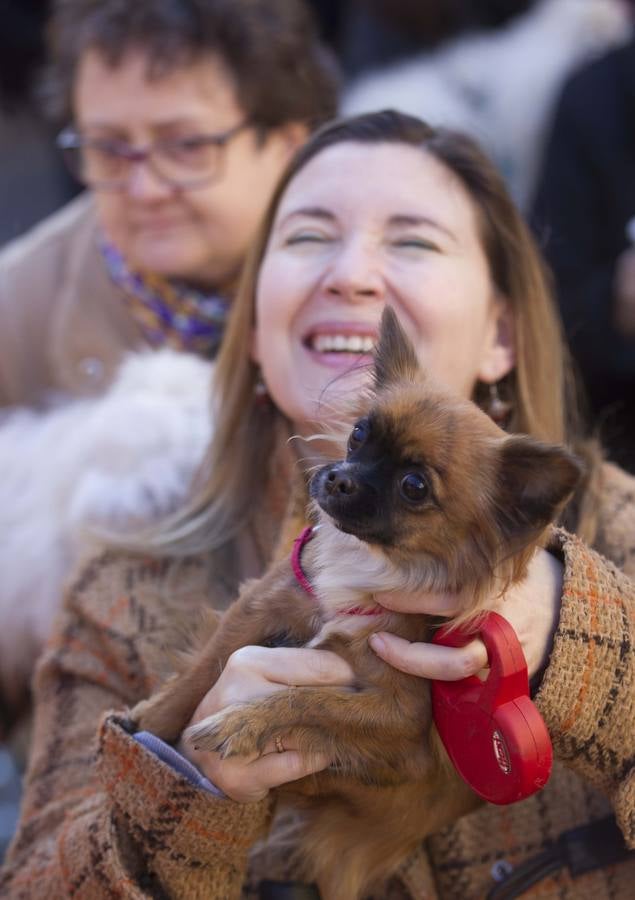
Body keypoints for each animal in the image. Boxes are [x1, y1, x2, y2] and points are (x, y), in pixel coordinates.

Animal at [137, 306, 584, 896]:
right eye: (357, 436)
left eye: (415, 486)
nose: (339, 479)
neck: (372, 566)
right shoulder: (262, 605)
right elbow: (201, 672)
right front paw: (148, 725)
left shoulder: (401, 718)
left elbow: (312, 701)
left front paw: (243, 723)